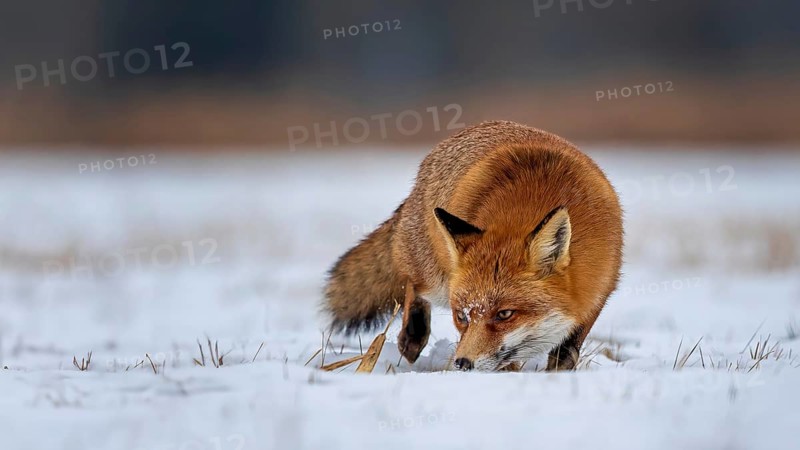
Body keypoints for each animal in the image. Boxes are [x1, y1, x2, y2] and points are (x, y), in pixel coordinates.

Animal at [323, 120, 623, 371]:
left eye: (505, 314)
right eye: (461, 316)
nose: (462, 363)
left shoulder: (596, 292)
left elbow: (565, 354)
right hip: (435, 278)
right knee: (412, 285)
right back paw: (412, 334)